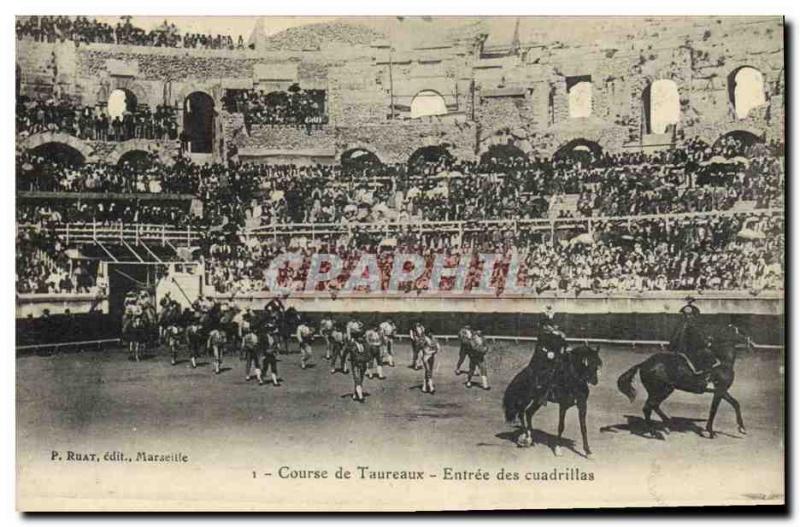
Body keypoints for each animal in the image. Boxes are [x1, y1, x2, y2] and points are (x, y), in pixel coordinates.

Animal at [620, 324, 752, 440]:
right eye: (739, 331)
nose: (749, 341)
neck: (723, 362)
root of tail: (643, 364)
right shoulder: (719, 390)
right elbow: (714, 410)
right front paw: (711, 432)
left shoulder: (721, 390)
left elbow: (735, 403)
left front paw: (741, 428)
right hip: (662, 390)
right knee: (648, 407)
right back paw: (656, 433)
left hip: (662, 390)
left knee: (654, 406)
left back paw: (667, 424)